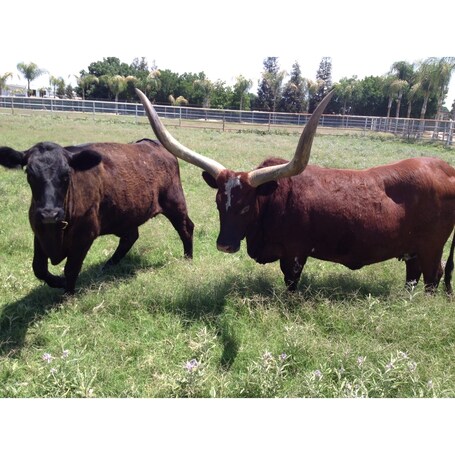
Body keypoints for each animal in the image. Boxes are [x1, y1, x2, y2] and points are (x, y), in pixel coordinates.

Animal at [0, 139, 194, 294]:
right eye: (29, 173)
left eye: (66, 174)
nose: (49, 213)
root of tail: (151, 143)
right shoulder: (39, 232)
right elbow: (38, 268)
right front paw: (59, 282)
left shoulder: (84, 236)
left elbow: (71, 269)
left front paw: (68, 295)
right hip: (125, 215)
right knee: (130, 237)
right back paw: (108, 265)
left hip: (175, 203)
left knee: (186, 228)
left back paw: (188, 258)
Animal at [137, 88, 455, 296]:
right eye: (218, 204)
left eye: (245, 207)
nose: (224, 245)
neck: (273, 200)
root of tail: (446, 169)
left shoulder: (295, 254)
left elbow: (291, 284)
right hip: (413, 250)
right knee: (413, 277)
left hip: (431, 248)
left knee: (432, 277)